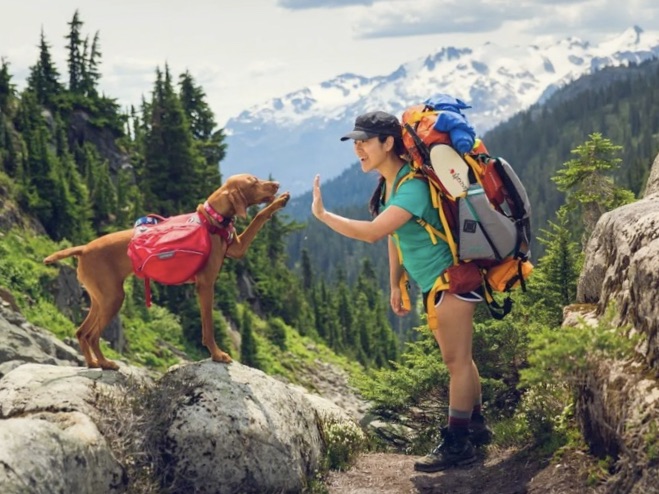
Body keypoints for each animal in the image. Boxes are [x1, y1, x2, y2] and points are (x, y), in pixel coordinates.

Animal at [42, 175, 288, 370]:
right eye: (254, 182)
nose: (276, 184)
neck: (213, 219)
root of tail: (83, 248)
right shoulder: (205, 285)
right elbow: (208, 327)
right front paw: (217, 355)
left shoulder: (237, 249)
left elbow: (259, 217)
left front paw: (279, 201)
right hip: (113, 298)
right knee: (93, 335)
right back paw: (105, 363)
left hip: (100, 299)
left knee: (82, 332)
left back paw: (93, 363)